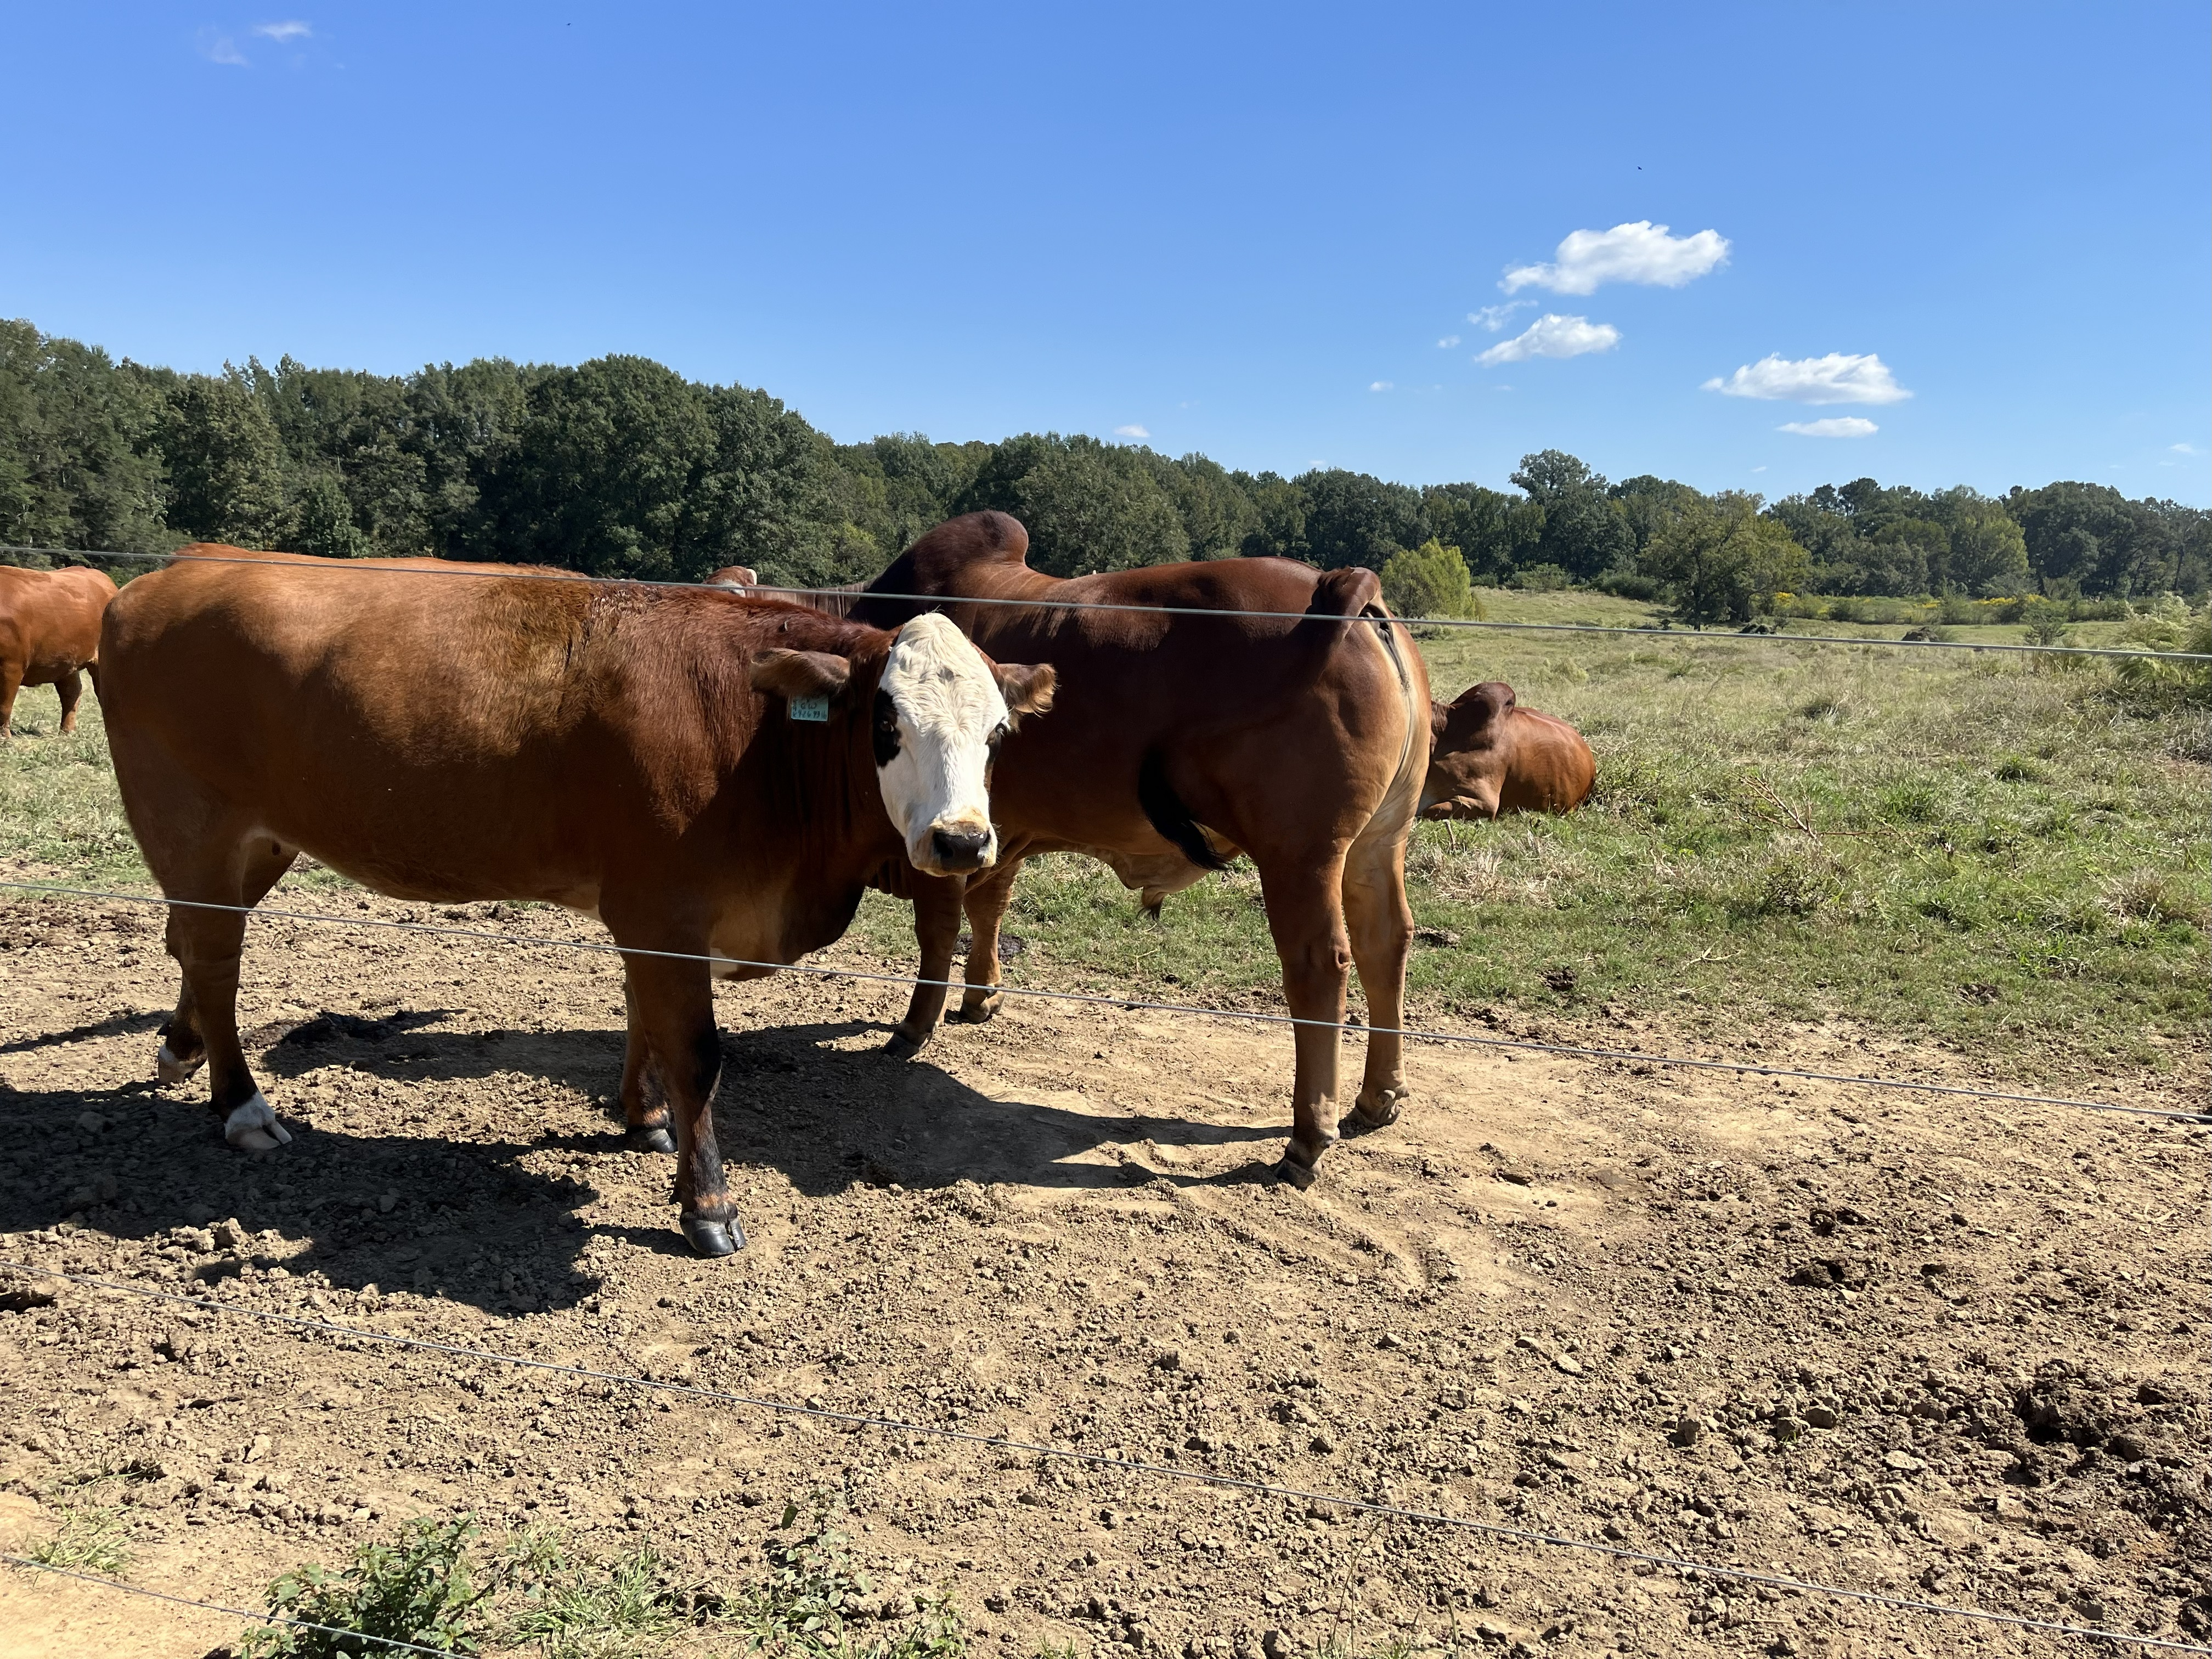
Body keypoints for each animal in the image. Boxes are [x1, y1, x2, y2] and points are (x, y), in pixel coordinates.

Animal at [0, 563, 118, 738]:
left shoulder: (12, 665)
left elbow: (4, 706)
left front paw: (5, 738)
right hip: (66, 660)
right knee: (72, 692)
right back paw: (66, 732)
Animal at [97, 545, 1054, 1255]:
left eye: (999, 731)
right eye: (887, 723)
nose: (962, 842)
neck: (757, 735)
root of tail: (171, 575)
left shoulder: (647, 911)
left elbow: (642, 1021)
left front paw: (645, 1119)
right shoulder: (666, 909)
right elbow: (695, 1052)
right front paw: (708, 1203)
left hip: (262, 840)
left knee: (191, 946)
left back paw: (182, 1049)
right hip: (195, 826)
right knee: (215, 959)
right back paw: (241, 1106)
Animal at [836, 512, 1430, 1190]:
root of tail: (1341, 586)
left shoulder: (944, 837)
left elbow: (937, 930)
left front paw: (914, 1027)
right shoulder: (1001, 831)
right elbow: (989, 909)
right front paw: (981, 996)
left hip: (1301, 855)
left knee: (1321, 966)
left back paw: (1309, 1135)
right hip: (1380, 841)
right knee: (1388, 942)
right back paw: (1378, 1096)